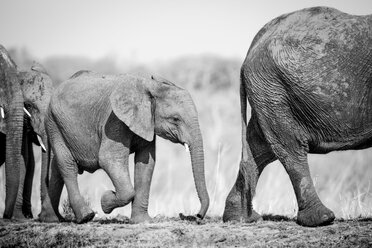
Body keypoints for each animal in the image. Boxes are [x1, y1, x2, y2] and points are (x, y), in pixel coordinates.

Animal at [0, 45, 53, 219]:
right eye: (28, 106)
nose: (42, 215)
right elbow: (24, 158)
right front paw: (19, 218)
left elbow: (28, 161)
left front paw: (24, 216)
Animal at [40, 70, 209, 224]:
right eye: (175, 119)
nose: (195, 216)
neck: (149, 86)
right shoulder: (114, 121)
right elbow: (109, 160)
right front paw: (105, 200)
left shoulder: (146, 122)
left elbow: (146, 163)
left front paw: (142, 221)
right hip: (54, 123)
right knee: (68, 165)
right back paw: (85, 216)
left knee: (56, 168)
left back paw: (51, 219)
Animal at [222, 6, 370, 227]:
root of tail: (255, 42)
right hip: (274, 88)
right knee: (289, 146)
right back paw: (322, 219)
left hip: (269, 91)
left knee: (259, 145)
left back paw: (240, 218)